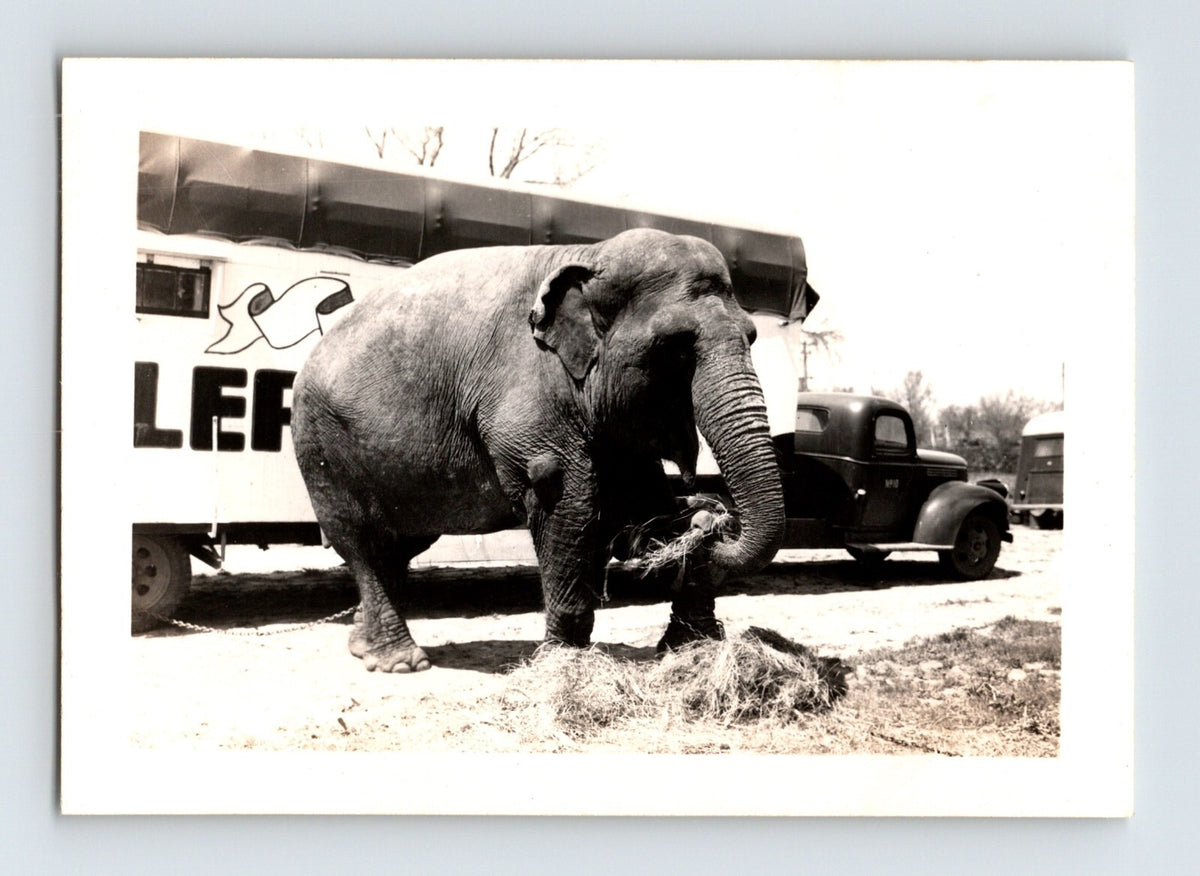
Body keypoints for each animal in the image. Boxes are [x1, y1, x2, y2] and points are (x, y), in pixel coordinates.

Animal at [290, 228, 785, 673]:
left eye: (752, 337)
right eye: (676, 348)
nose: (717, 514)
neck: (590, 254)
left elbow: (641, 500)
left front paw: (690, 644)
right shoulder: (527, 391)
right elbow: (570, 500)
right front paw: (560, 664)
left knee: (400, 544)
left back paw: (363, 645)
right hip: (322, 448)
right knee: (360, 542)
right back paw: (399, 662)